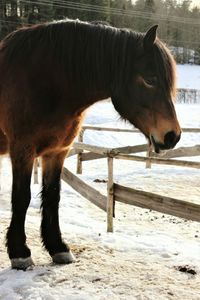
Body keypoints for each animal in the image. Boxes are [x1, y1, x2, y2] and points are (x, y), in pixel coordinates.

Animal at [0, 19, 181, 270]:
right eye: (150, 79)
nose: (173, 136)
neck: (44, 80)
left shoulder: (57, 152)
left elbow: (52, 196)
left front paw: (58, 247)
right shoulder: (22, 150)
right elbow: (21, 198)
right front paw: (20, 253)